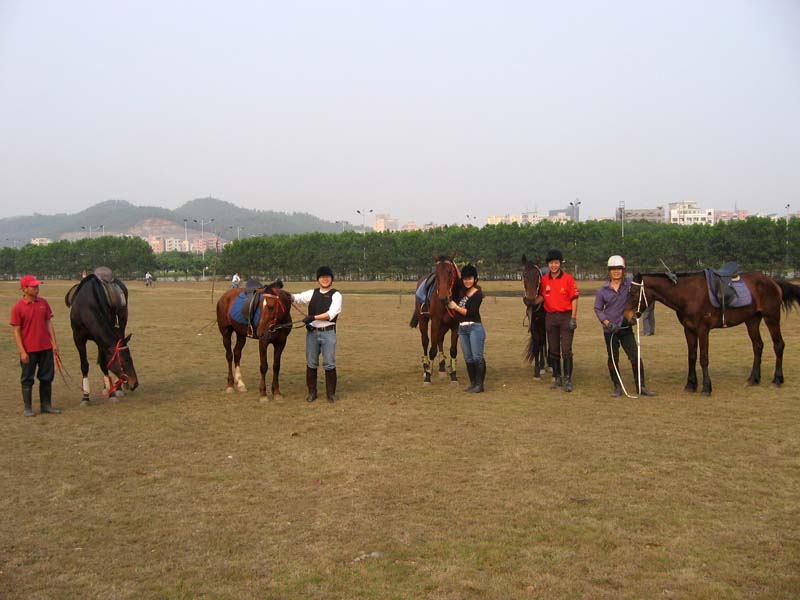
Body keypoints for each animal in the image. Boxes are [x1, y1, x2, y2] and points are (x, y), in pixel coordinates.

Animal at [410, 254, 460, 384]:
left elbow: (453, 350)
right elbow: (432, 349)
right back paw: (426, 367)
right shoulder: (435, 322)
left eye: (450, 271)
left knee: (439, 339)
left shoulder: (455, 324)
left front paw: (454, 376)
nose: (443, 297)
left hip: (444, 325)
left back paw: (442, 367)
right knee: (425, 341)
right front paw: (428, 376)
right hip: (423, 319)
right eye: (436, 273)